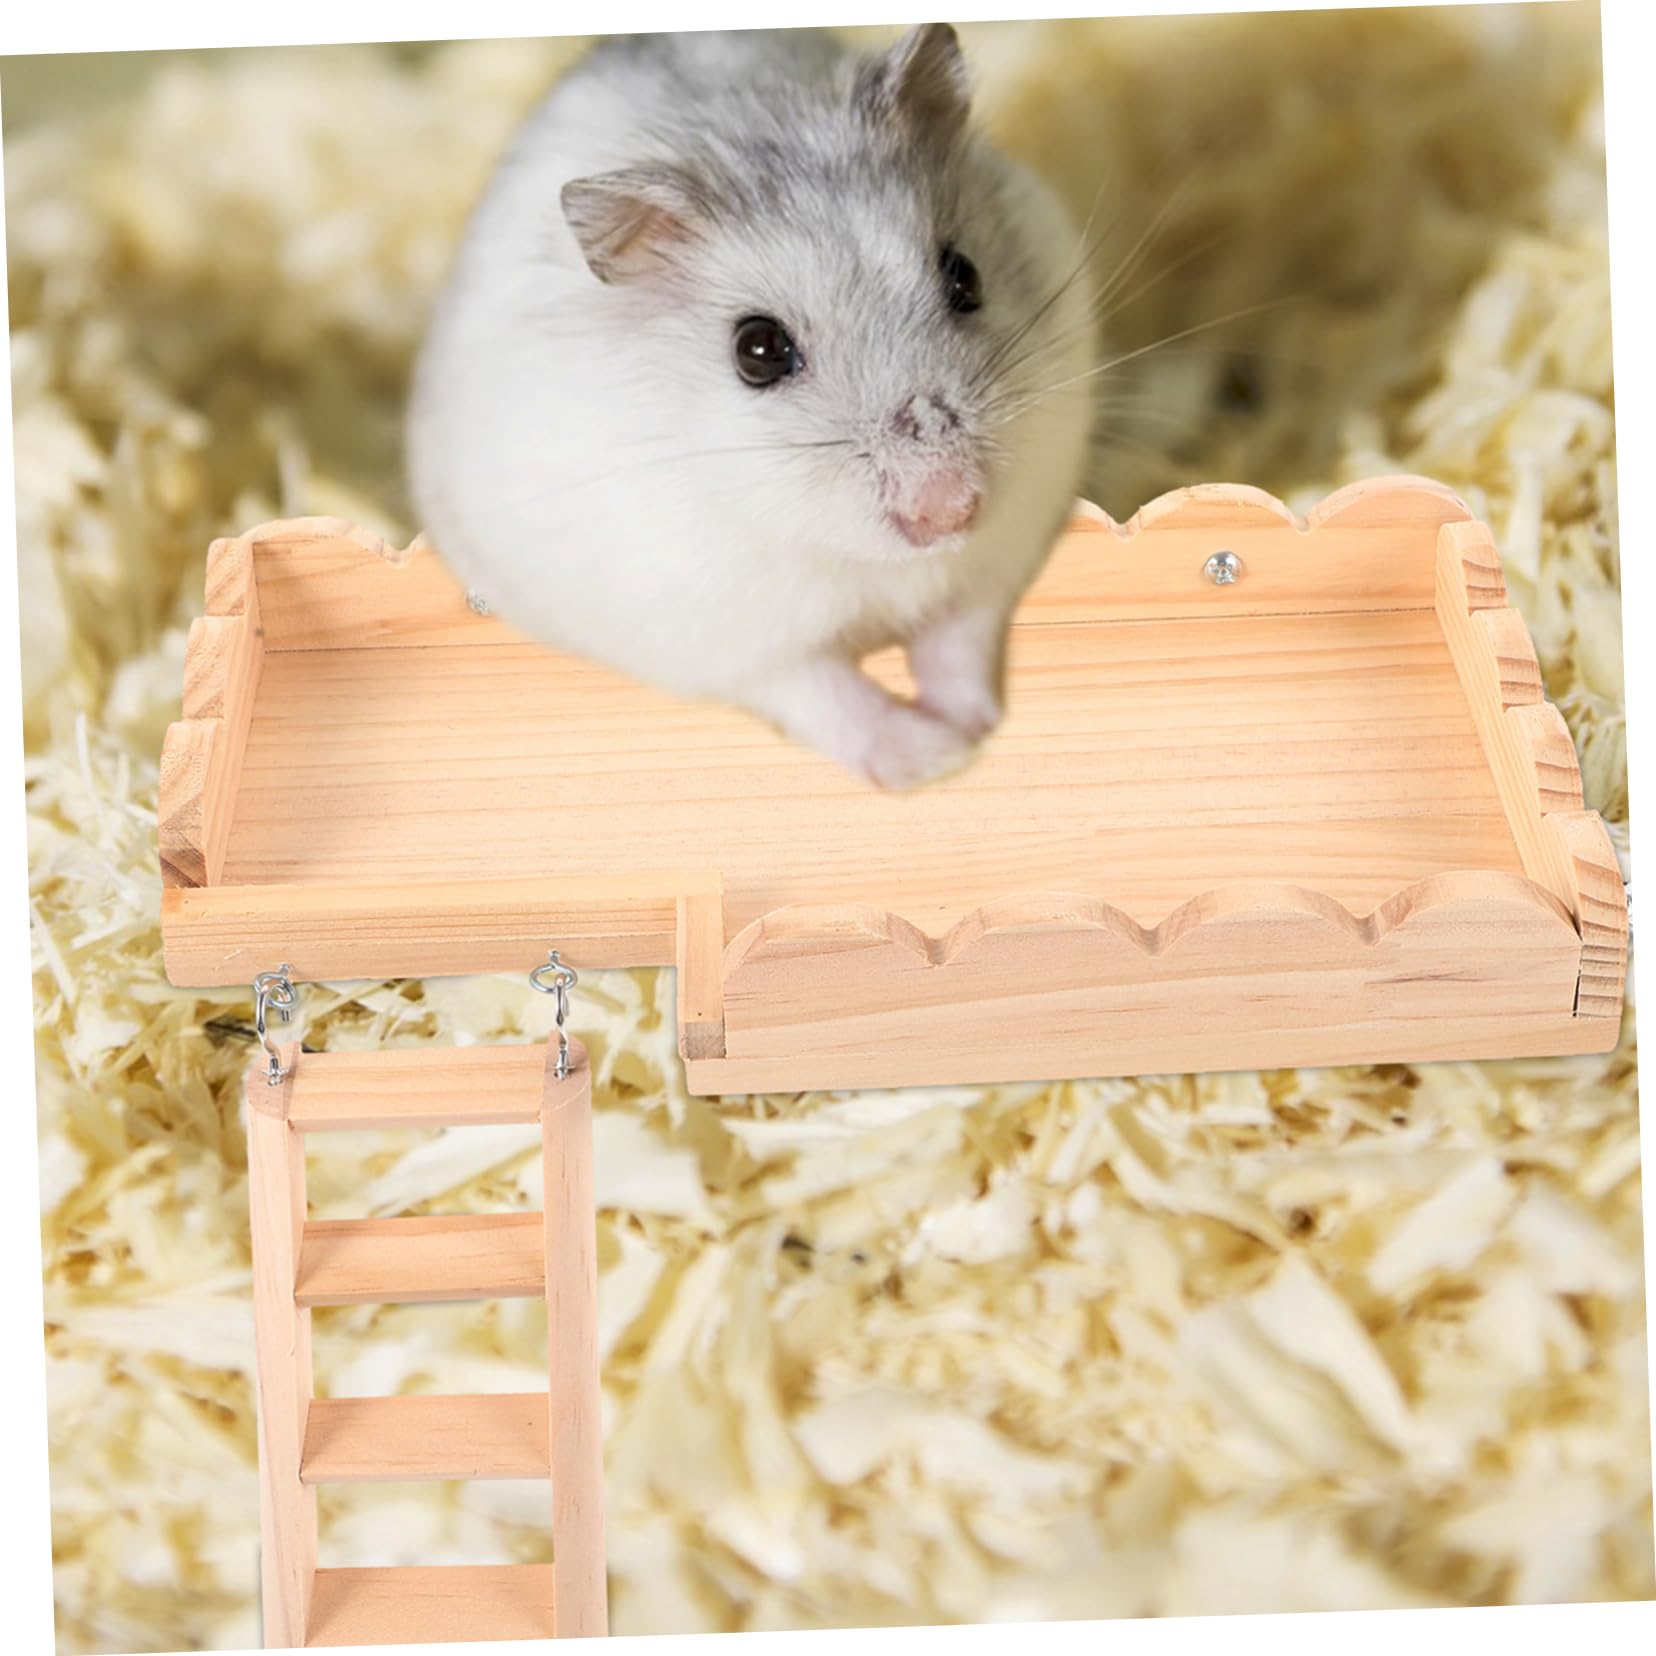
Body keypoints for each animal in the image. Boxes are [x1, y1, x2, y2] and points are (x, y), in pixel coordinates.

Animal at [407, 25, 1095, 788]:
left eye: (965, 276)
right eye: (758, 350)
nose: (949, 512)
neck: (864, 559)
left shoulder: (995, 557)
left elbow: (959, 635)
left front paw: (975, 725)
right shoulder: (730, 639)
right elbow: (825, 692)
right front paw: (937, 757)